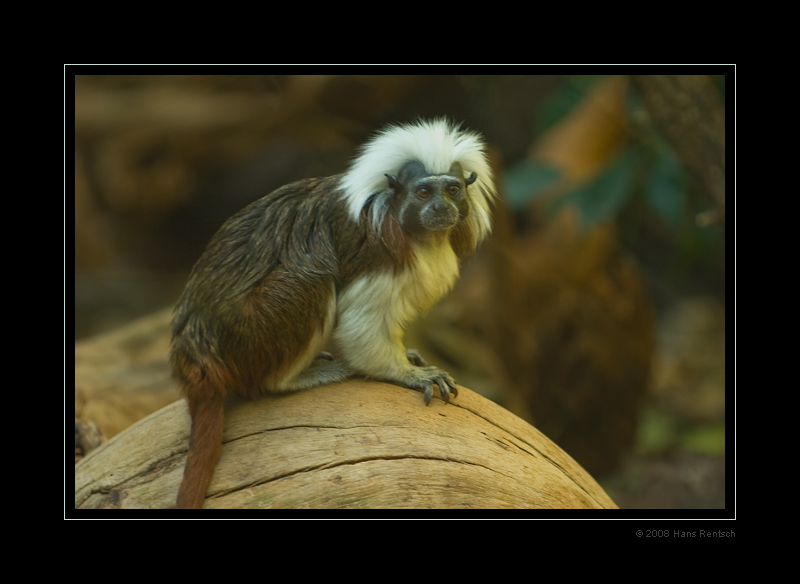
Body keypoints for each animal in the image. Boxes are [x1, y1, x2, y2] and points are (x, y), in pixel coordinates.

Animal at [171, 117, 490, 506]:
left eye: (453, 190)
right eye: (424, 193)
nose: (441, 209)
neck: (416, 232)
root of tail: (196, 360)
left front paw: (409, 355)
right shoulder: (377, 253)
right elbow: (360, 324)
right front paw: (406, 372)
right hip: (249, 332)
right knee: (309, 277)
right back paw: (295, 376)